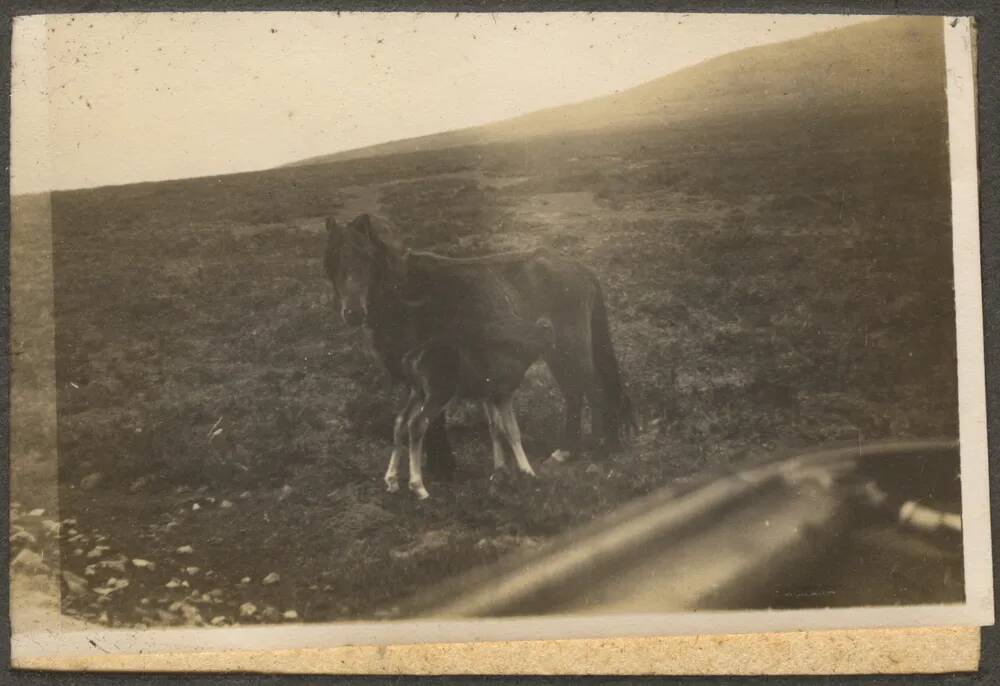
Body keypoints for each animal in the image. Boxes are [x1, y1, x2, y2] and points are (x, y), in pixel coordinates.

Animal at [384, 318, 556, 500]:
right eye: (551, 331)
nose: (555, 349)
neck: (521, 352)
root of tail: (410, 359)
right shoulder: (505, 392)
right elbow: (512, 430)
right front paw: (528, 471)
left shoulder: (488, 396)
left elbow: (495, 428)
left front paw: (498, 471)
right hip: (439, 391)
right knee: (417, 423)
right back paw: (418, 487)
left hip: (417, 391)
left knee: (401, 420)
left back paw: (392, 480)